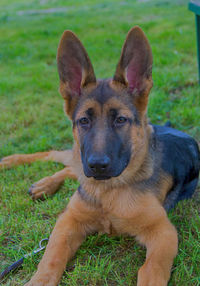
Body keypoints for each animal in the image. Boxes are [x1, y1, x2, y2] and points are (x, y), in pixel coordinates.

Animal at [0, 25, 200, 284]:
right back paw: (19, 168)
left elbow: (151, 270)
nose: (97, 166)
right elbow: (51, 256)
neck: (108, 192)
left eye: (121, 120)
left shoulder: (163, 232)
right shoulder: (69, 220)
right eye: (84, 121)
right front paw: (39, 279)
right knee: (59, 158)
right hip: (78, 157)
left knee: (68, 166)